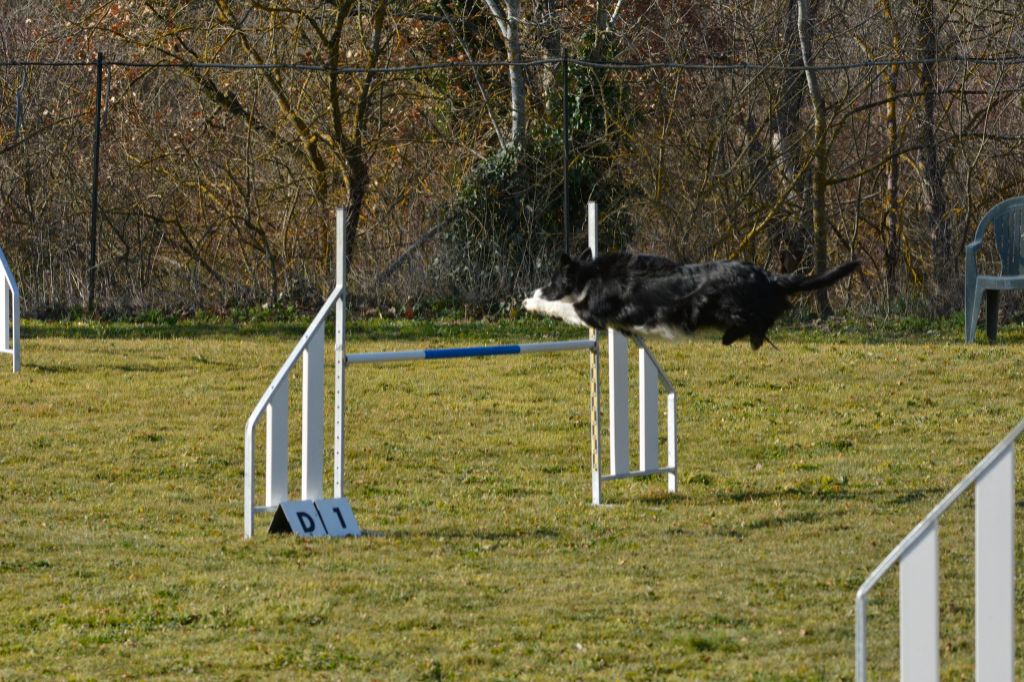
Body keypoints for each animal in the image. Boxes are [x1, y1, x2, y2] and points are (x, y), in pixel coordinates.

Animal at [524, 249, 860, 348]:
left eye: (552, 280)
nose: (538, 288)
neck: (590, 275)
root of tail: (766, 275)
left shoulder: (592, 312)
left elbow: (563, 306)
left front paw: (532, 301)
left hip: (726, 306)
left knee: (765, 316)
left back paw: (741, 338)